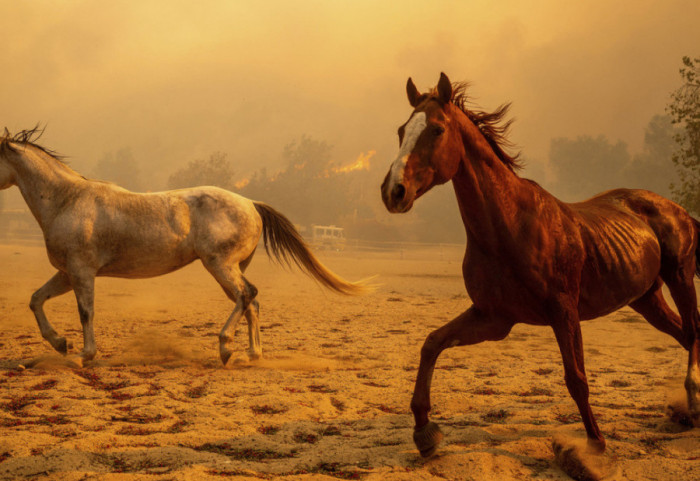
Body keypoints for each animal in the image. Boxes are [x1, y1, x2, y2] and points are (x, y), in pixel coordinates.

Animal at [1, 127, 366, 364]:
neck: (67, 200)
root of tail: (250, 203)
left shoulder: (81, 272)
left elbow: (86, 312)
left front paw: (83, 355)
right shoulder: (66, 273)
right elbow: (36, 300)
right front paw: (60, 344)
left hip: (219, 265)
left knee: (247, 295)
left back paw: (226, 347)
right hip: (230, 268)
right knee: (251, 303)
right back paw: (252, 353)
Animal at [382, 72, 700, 458]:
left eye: (437, 129)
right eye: (402, 131)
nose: (393, 191)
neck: (510, 226)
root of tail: (677, 209)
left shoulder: (563, 310)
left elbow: (576, 378)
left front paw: (595, 446)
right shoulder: (494, 318)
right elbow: (432, 343)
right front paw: (425, 432)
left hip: (680, 276)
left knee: (694, 332)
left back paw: (693, 398)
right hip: (646, 299)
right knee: (685, 334)